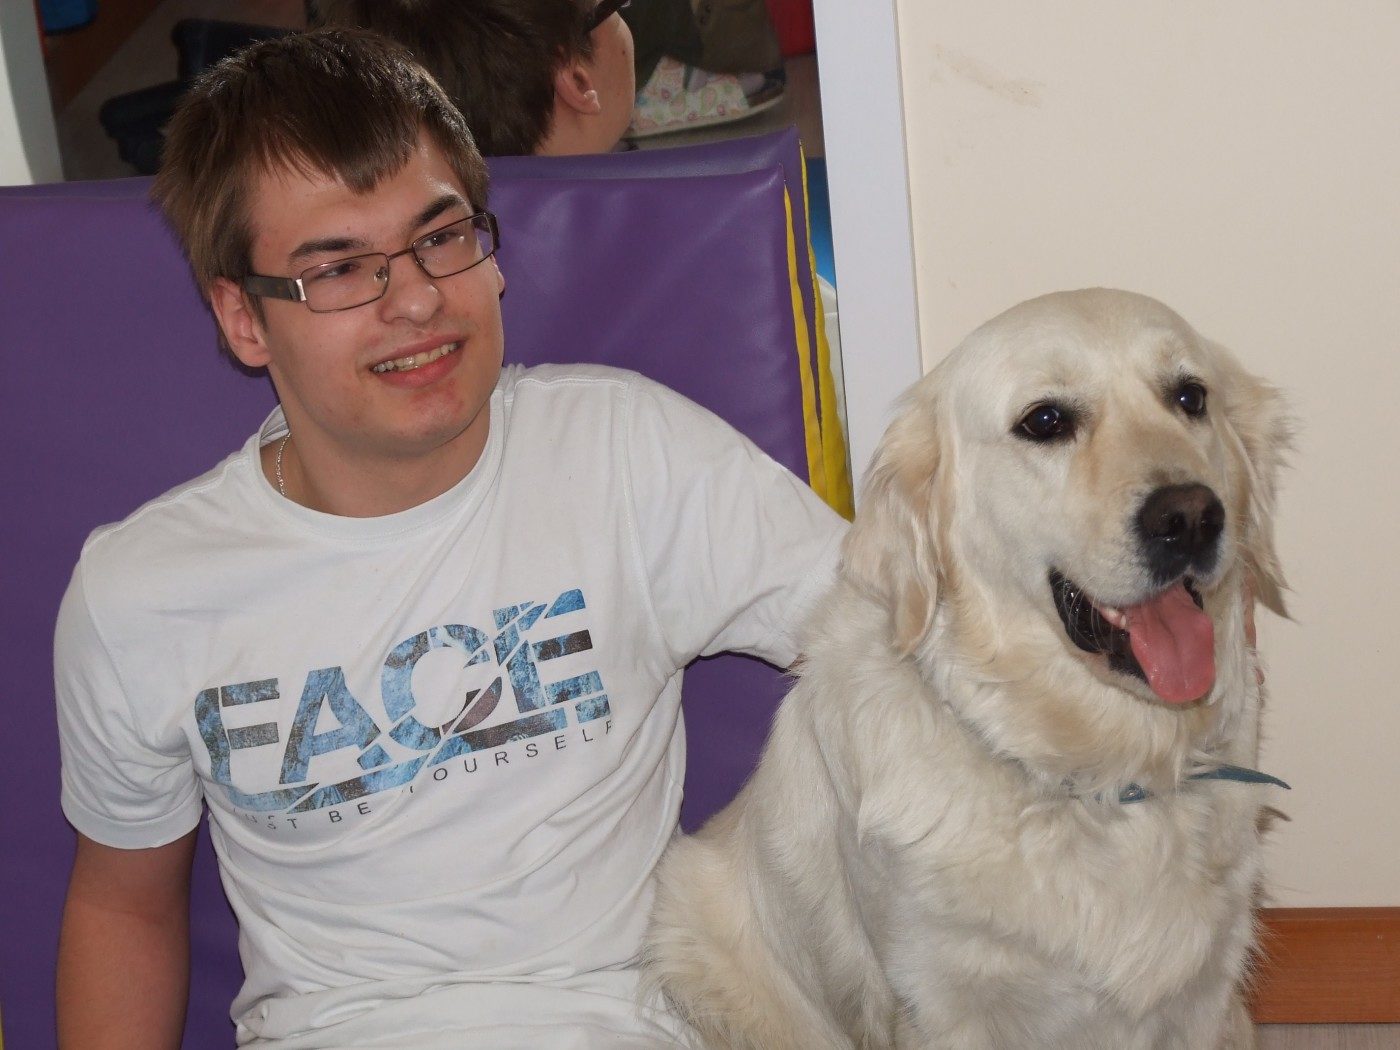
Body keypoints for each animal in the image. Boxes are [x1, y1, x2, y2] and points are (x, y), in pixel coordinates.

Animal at [645, 289, 1291, 1049]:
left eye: (1190, 397)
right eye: (1045, 420)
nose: (1190, 516)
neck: (1102, 775)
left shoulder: (1205, 998)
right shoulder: (943, 1003)